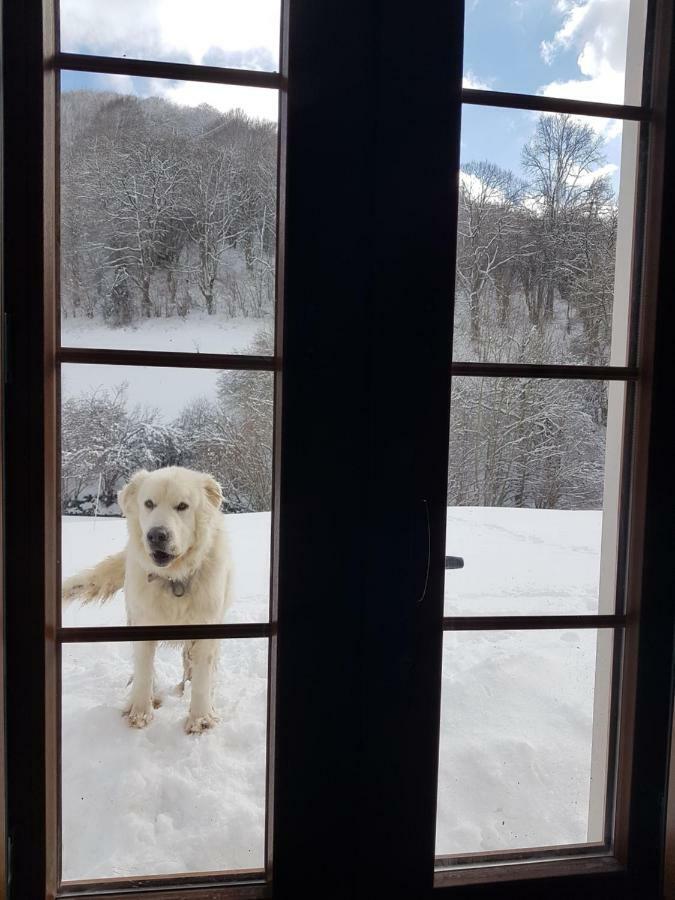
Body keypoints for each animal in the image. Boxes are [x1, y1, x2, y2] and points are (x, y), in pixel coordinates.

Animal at [63, 468, 232, 736]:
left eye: (182, 506)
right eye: (149, 504)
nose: (156, 535)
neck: (174, 579)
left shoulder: (206, 626)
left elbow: (203, 674)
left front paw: (200, 719)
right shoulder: (142, 622)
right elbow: (144, 668)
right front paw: (140, 713)